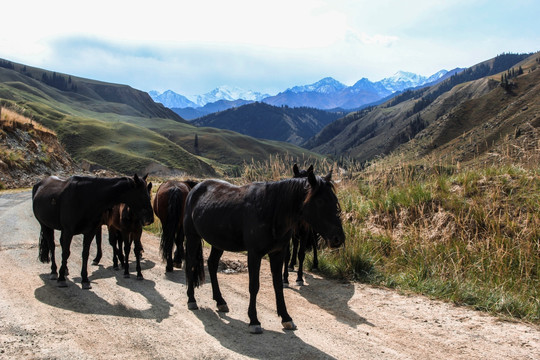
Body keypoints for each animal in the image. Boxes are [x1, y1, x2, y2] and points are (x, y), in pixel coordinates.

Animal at [181, 167, 344, 334]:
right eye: (320, 201)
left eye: (334, 200)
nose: (338, 238)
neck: (271, 210)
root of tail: (194, 188)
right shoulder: (254, 254)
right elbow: (254, 286)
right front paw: (254, 320)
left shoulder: (277, 254)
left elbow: (278, 285)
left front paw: (286, 318)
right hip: (192, 237)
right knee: (190, 264)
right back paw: (191, 299)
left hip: (218, 243)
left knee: (212, 265)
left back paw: (220, 301)